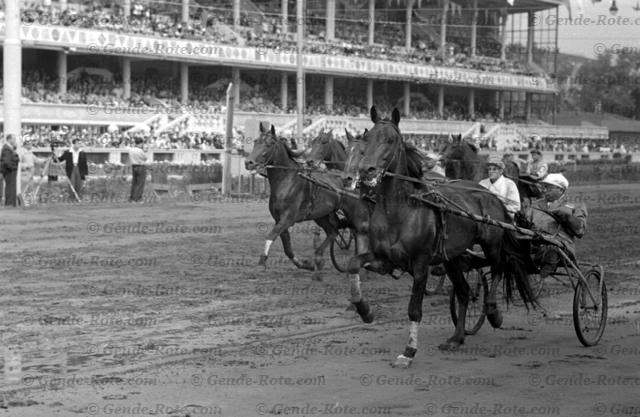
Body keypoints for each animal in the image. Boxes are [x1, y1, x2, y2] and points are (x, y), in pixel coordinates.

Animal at [350, 107, 536, 368]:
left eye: (391, 139)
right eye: (367, 138)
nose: (366, 170)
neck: (399, 210)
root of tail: (487, 193)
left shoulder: (420, 264)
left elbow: (414, 309)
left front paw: (408, 352)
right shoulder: (384, 260)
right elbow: (352, 264)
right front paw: (364, 309)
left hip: (491, 243)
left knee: (499, 266)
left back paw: (493, 312)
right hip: (452, 257)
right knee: (464, 291)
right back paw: (456, 338)